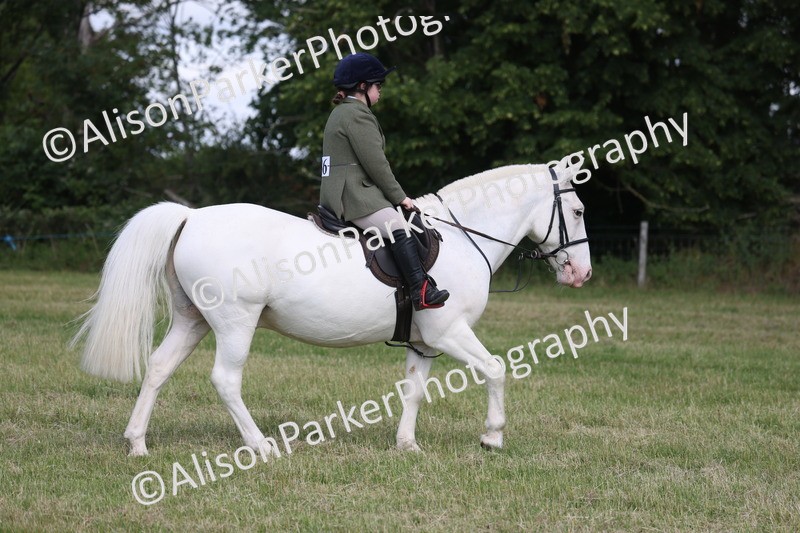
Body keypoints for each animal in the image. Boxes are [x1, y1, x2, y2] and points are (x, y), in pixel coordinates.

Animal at [71, 161, 592, 456]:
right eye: (579, 211)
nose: (581, 275)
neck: (463, 236)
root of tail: (192, 216)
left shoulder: (425, 342)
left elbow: (414, 391)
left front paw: (407, 446)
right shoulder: (449, 331)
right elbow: (497, 369)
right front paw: (493, 437)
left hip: (192, 319)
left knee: (158, 368)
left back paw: (138, 444)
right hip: (236, 322)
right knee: (225, 380)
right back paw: (261, 447)